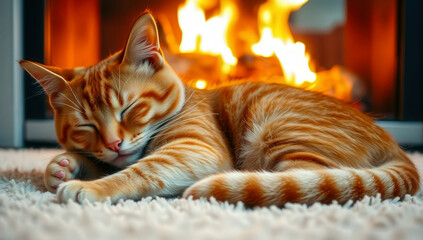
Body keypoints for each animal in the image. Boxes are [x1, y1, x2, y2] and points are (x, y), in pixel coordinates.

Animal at [19, 12, 420, 205]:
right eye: (85, 126)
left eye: (129, 108)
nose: (115, 144)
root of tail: (395, 146)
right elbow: (101, 162)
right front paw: (63, 166)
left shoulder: (195, 148)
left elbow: (140, 170)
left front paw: (89, 186)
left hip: (280, 129)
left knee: (306, 183)